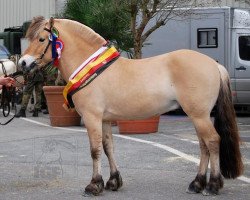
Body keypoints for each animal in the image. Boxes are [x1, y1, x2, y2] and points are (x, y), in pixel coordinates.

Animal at [18, 16, 243, 196]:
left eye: (41, 39)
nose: (22, 63)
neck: (94, 68)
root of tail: (215, 65)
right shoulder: (105, 119)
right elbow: (108, 147)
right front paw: (113, 181)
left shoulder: (92, 118)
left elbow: (95, 150)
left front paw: (94, 185)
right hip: (198, 116)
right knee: (204, 145)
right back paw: (197, 184)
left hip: (199, 115)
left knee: (212, 141)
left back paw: (212, 185)